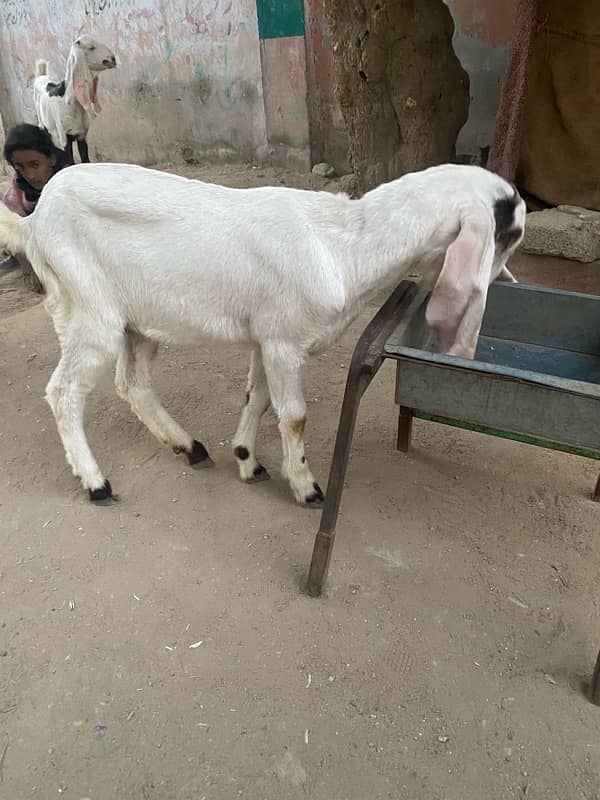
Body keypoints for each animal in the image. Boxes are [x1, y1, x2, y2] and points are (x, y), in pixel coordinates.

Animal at [0, 162, 524, 506]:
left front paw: (247, 459)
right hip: (88, 308)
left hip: (138, 319)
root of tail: (33, 221)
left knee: (133, 384)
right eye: (511, 232)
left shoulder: (265, 337)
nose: (507, 283)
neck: (344, 246)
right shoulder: (285, 342)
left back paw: (189, 448)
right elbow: (294, 415)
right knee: (64, 391)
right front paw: (306, 487)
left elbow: (257, 397)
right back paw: (96, 483)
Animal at [32, 34, 116, 164]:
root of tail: (41, 77)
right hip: (43, 124)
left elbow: (85, 160)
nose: (113, 59)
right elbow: (70, 161)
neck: (69, 101)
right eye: (91, 47)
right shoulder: (64, 137)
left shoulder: (81, 135)